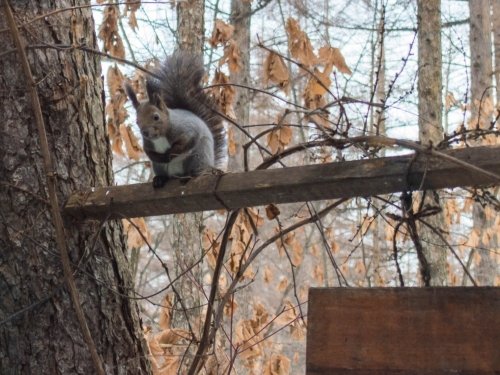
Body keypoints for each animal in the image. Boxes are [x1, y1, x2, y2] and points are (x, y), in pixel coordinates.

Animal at [124, 50, 226, 188]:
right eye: (137, 121)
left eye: (156, 117)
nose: (145, 132)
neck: (160, 137)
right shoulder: (148, 144)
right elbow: (149, 153)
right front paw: (160, 157)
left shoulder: (187, 130)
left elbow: (185, 143)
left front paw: (170, 154)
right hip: (160, 167)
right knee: (165, 174)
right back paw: (160, 179)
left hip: (197, 157)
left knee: (196, 170)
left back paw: (189, 175)